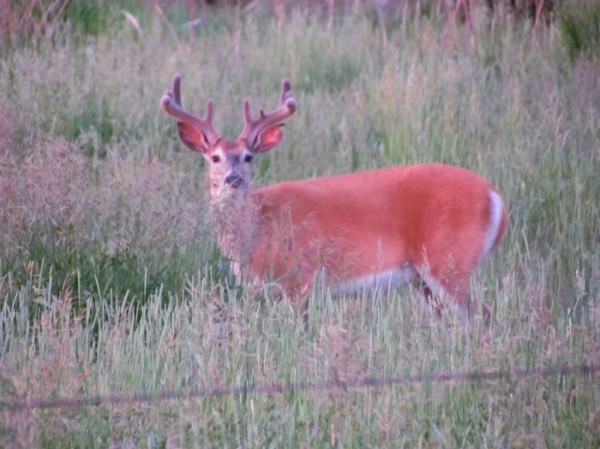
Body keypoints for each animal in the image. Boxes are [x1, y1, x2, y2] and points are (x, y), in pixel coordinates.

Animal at [159, 73, 506, 320]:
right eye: (214, 157)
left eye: (248, 156)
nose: (233, 179)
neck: (257, 228)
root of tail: (496, 199)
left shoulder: (299, 278)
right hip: (425, 277)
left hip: (449, 259)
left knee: (483, 315)